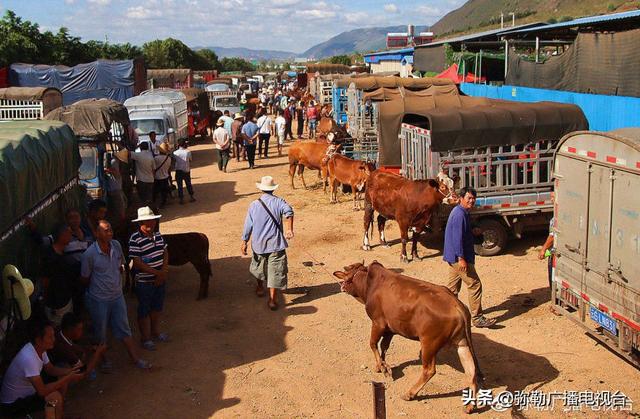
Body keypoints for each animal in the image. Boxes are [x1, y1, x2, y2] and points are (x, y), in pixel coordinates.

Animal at [336, 262, 480, 414]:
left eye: (346, 277)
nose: (342, 287)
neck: (370, 284)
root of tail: (457, 305)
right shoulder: (390, 330)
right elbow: (384, 347)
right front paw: (382, 366)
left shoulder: (378, 323)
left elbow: (373, 344)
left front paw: (382, 368)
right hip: (462, 342)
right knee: (471, 370)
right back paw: (470, 405)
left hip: (429, 344)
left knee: (429, 370)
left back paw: (410, 393)